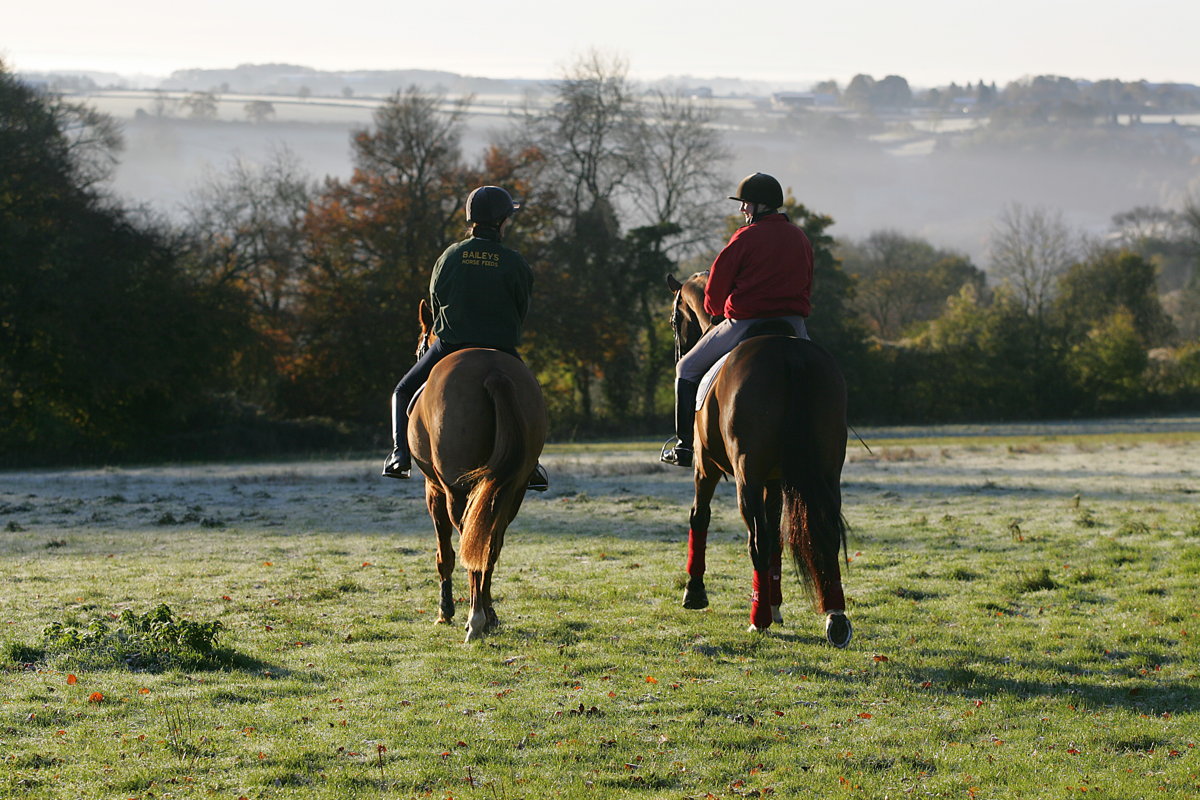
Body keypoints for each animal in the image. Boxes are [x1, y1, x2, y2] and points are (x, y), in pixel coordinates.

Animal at [407, 300, 548, 642]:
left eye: (419, 346)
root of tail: (492, 370)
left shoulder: (433, 490)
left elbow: (445, 555)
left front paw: (445, 612)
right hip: (513, 488)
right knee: (490, 545)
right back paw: (488, 616)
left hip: (457, 491)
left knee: (469, 545)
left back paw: (475, 619)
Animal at [666, 272, 852, 647]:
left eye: (675, 319)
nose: (679, 350)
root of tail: (788, 354)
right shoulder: (774, 480)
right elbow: (778, 539)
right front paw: (777, 604)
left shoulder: (705, 468)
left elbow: (700, 518)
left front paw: (695, 592)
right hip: (827, 472)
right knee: (822, 536)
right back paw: (835, 617)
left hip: (745, 477)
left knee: (757, 540)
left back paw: (758, 618)